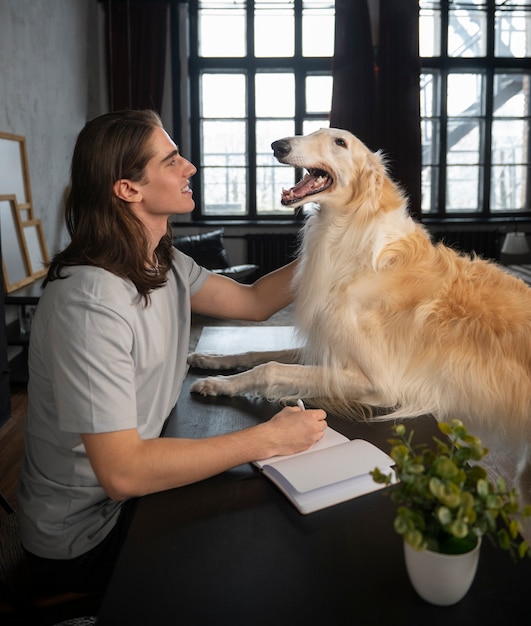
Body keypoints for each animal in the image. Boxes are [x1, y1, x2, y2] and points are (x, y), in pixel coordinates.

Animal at [189, 129, 531, 500]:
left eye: (340, 142)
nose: (277, 145)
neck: (353, 243)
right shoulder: (328, 345)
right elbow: (257, 352)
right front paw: (209, 361)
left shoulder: (378, 382)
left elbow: (270, 368)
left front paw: (217, 384)